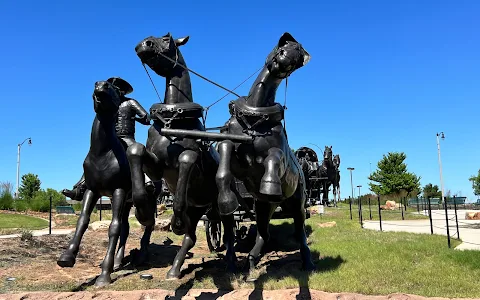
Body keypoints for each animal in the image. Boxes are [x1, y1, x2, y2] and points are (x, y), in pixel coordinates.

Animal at [214, 31, 316, 280]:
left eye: (297, 58)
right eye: (283, 47)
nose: (284, 60)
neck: (255, 122)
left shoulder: (277, 155)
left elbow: (273, 158)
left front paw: (270, 185)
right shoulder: (233, 153)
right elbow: (224, 158)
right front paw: (226, 199)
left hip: (297, 204)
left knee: (300, 233)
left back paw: (308, 263)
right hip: (263, 207)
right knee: (264, 233)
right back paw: (251, 263)